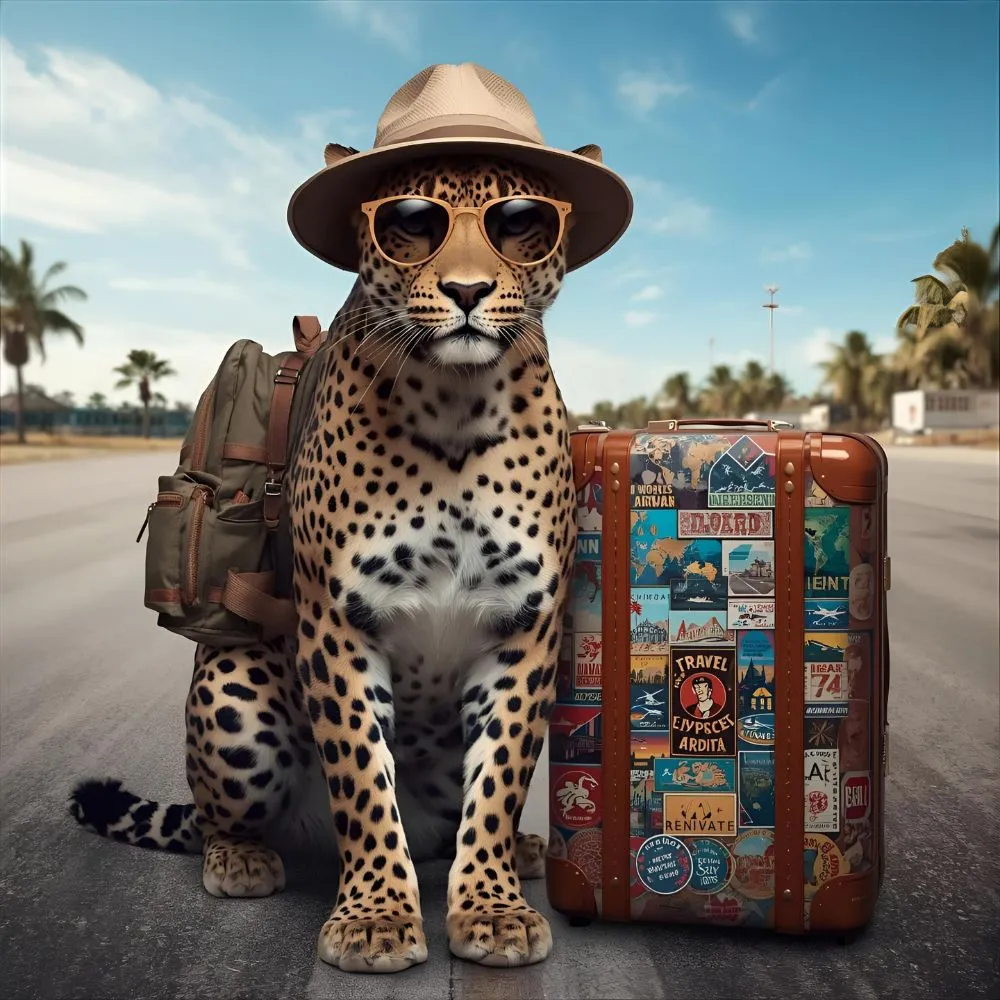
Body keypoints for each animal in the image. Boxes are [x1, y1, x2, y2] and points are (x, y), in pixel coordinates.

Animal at [70, 153, 581, 974]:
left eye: (518, 222)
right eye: (412, 223)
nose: (467, 291)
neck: (458, 403)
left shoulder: (524, 629)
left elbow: (499, 779)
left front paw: (491, 907)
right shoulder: (339, 625)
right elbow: (364, 778)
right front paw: (375, 919)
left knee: (445, 828)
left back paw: (523, 851)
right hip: (234, 689)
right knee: (220, 818)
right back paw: (240, 859)